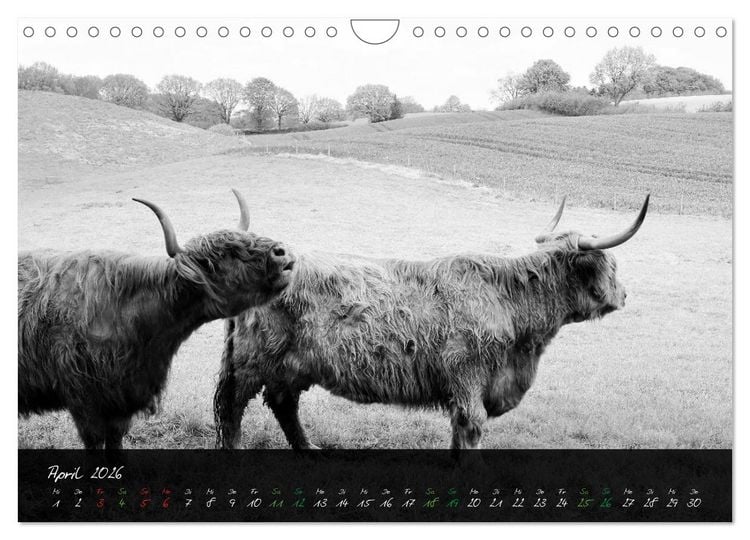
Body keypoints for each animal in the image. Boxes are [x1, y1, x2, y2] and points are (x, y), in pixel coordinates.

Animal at [214, 195, 649, 453]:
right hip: (251, 364)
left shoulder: (467, 388)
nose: (625, 295)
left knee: (283, 405)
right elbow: (470, 429)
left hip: (291, 368)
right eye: (612, 265)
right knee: (232, 409)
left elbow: (458, 432)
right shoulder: (468, 378)